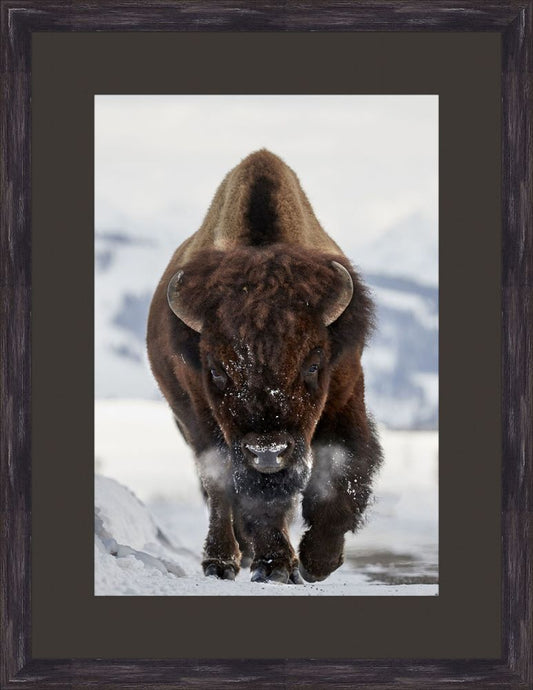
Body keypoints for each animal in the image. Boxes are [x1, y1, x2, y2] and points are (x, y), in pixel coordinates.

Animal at [147, 150, 382, 584]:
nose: (268, 452)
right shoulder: (206, 417)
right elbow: (244, 492)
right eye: (216, 370)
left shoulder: (344, 393)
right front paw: (275, 565)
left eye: (314, 363)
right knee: (219, 489)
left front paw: (318, 561)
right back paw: (223, 561)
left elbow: (343, 468)